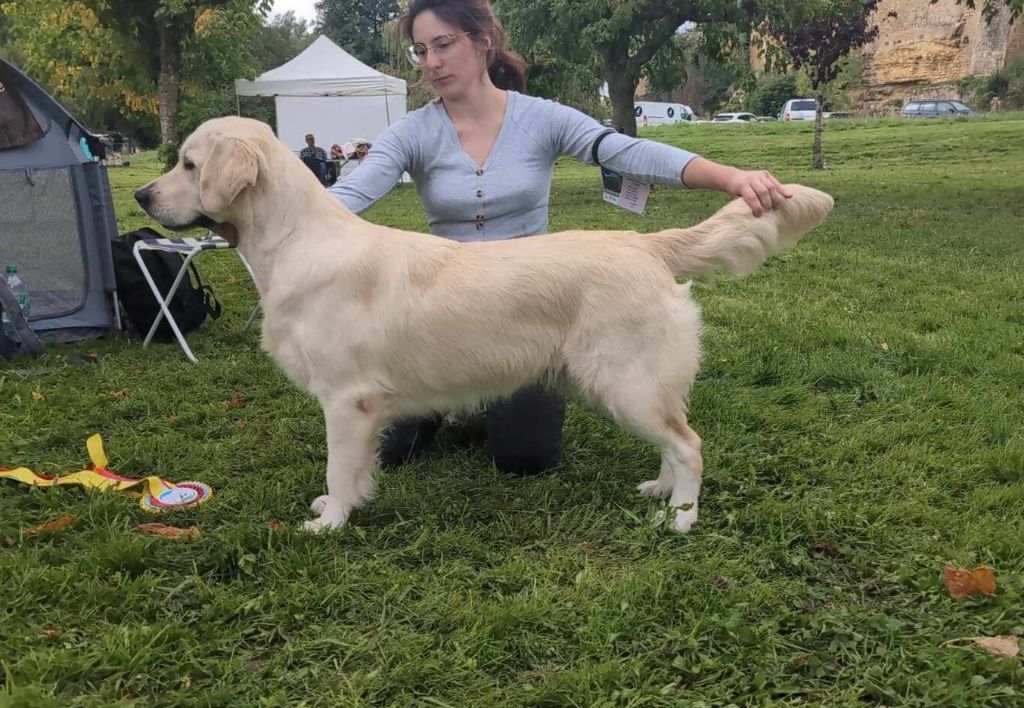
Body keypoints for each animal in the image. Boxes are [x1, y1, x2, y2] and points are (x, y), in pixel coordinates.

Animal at [132, 118, 831, 532]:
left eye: (189, 165)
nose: (140, 196)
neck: (293, 241)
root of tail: (646, 244)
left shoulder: (347, 400)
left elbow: (337, 467)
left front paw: (330, 523)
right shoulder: (361, 409)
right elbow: (356, 471)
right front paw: (345, 505)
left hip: (623, 381)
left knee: (689, 444)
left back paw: (682, 517)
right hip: (631, 384)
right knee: (672, 439)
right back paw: (660, 491)